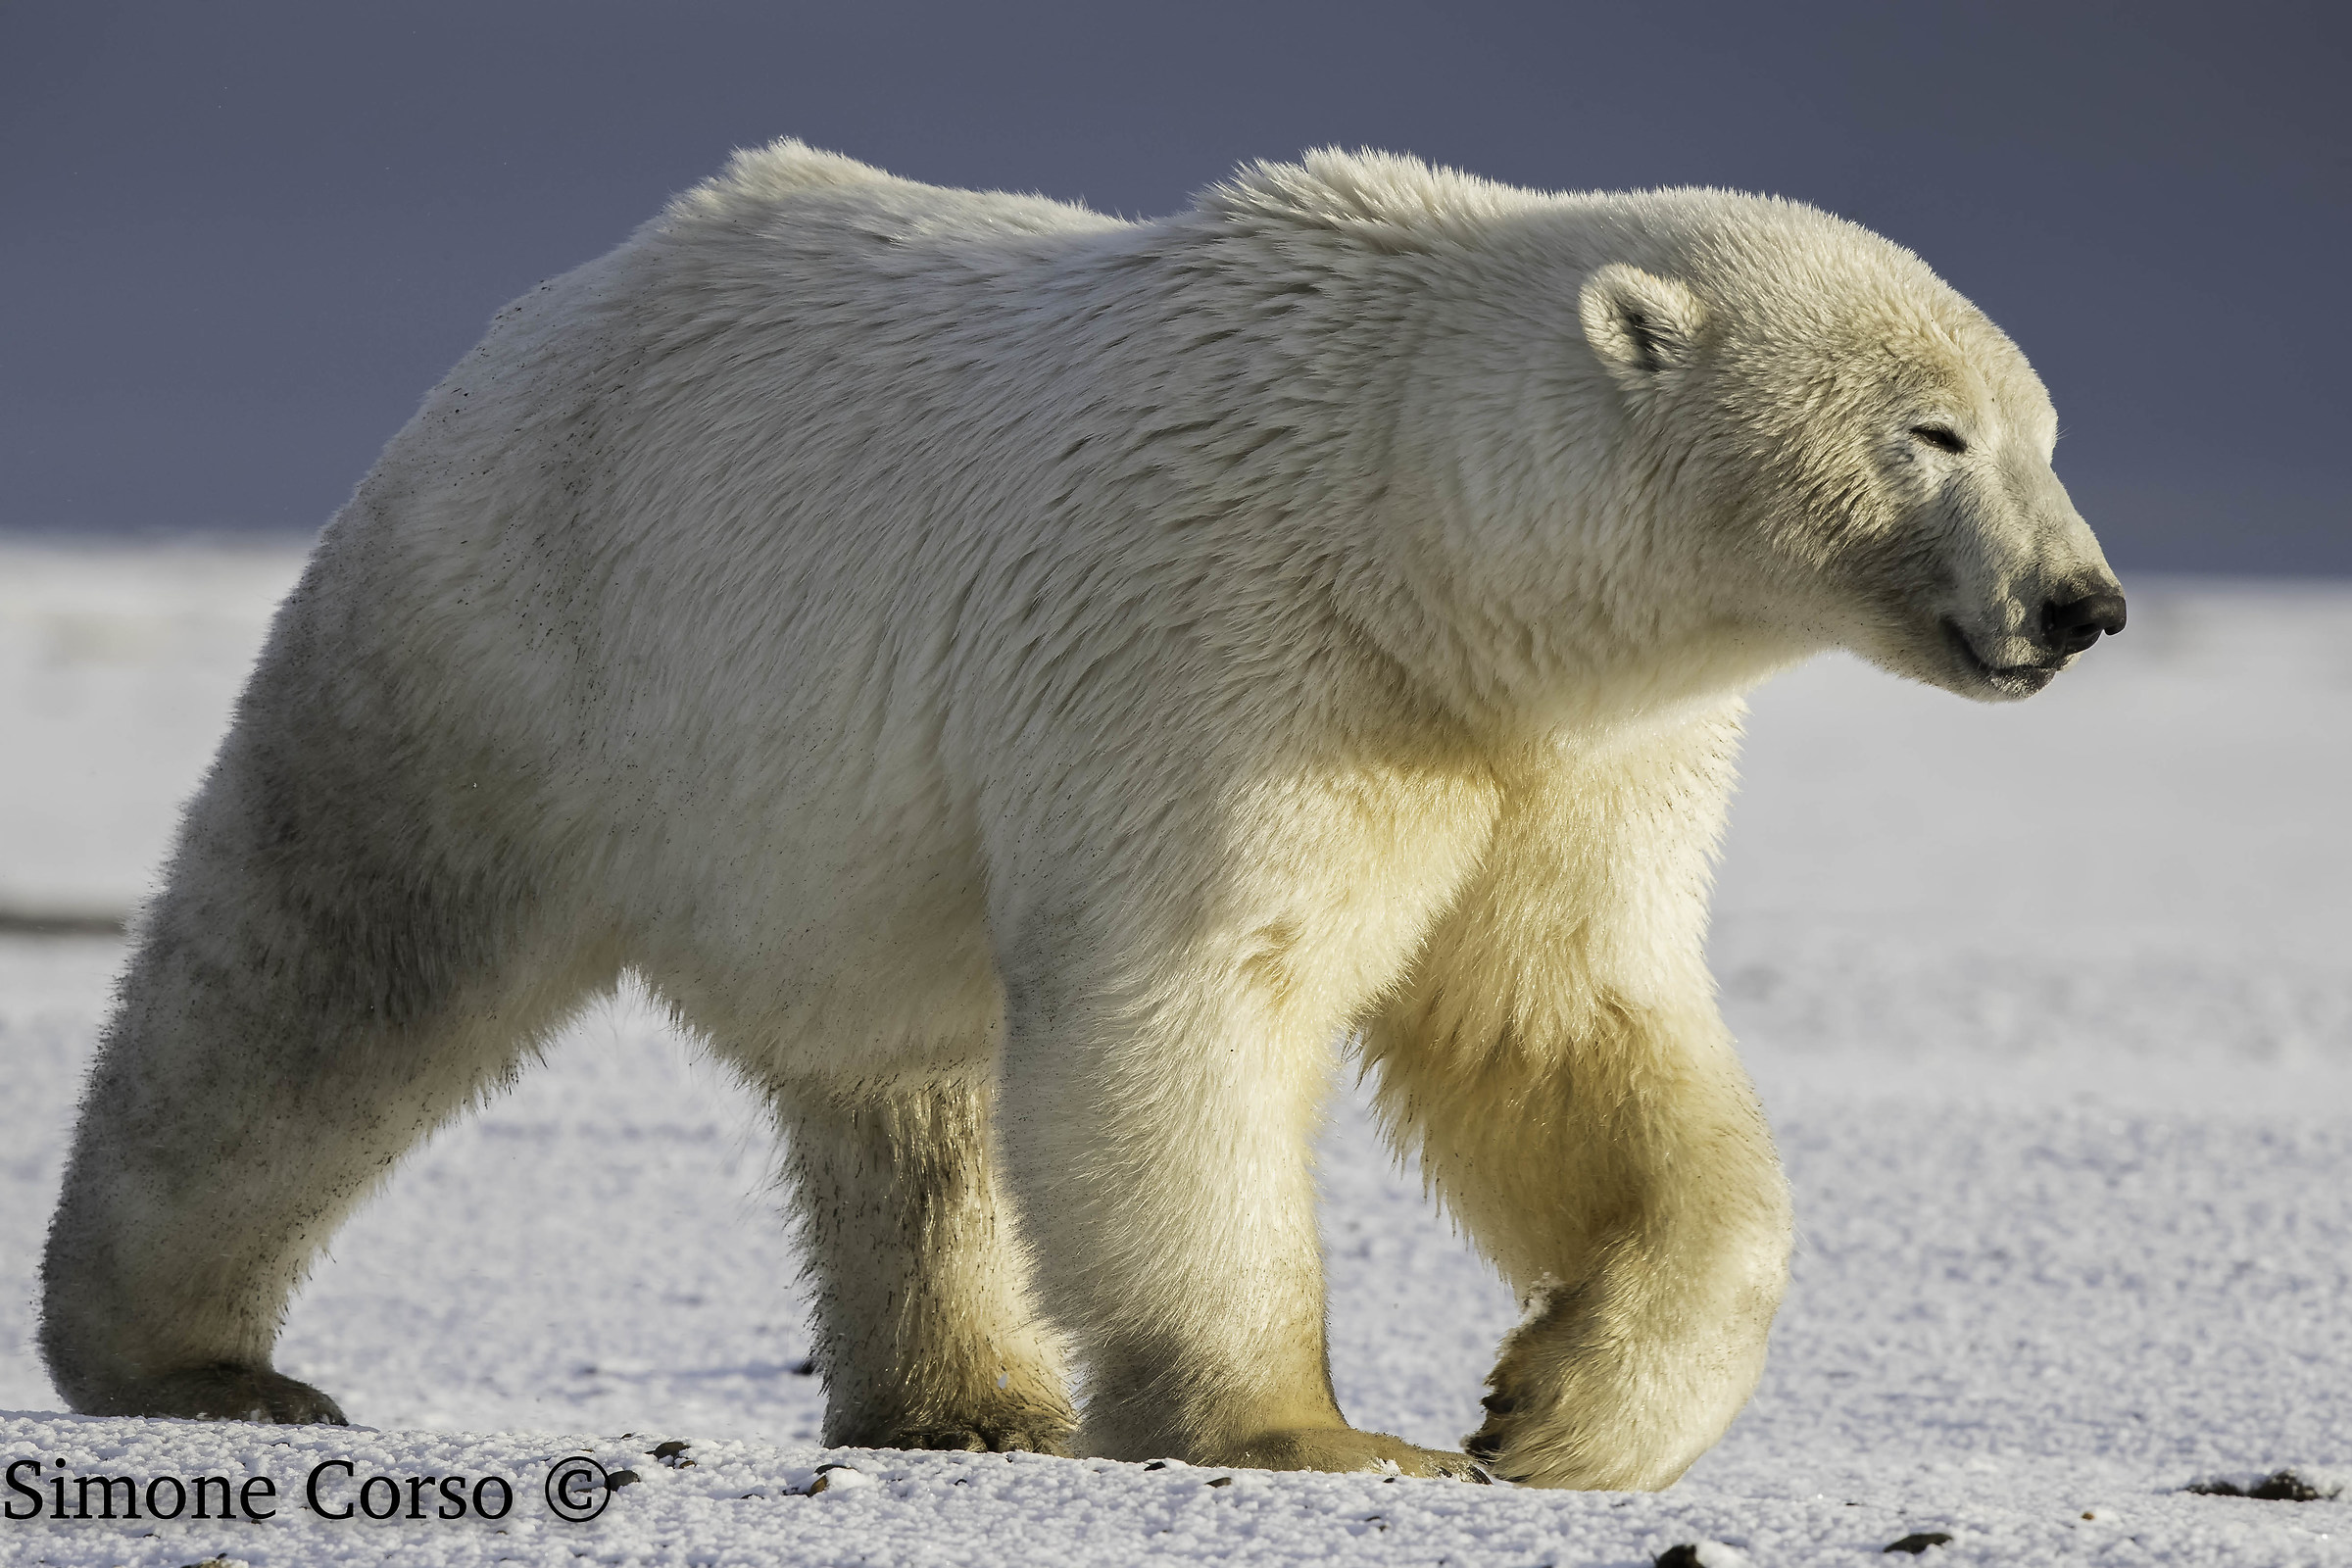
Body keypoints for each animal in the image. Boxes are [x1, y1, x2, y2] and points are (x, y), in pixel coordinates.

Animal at [40, 141, 2122, 1489]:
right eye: (1931, 432)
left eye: (2041, 434)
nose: (2081, 603)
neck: (1425, 548)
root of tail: (551, 308)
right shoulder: (1233, 652)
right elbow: (1195, 997)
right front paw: (1313, 1434)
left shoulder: (1558, 748)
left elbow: (1566, 1026)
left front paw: (1562, 1411)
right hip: (516, 639)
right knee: (325, 960)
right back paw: (192, 1362)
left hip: (835, 829)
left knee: (910, 1090)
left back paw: (966, 1397)